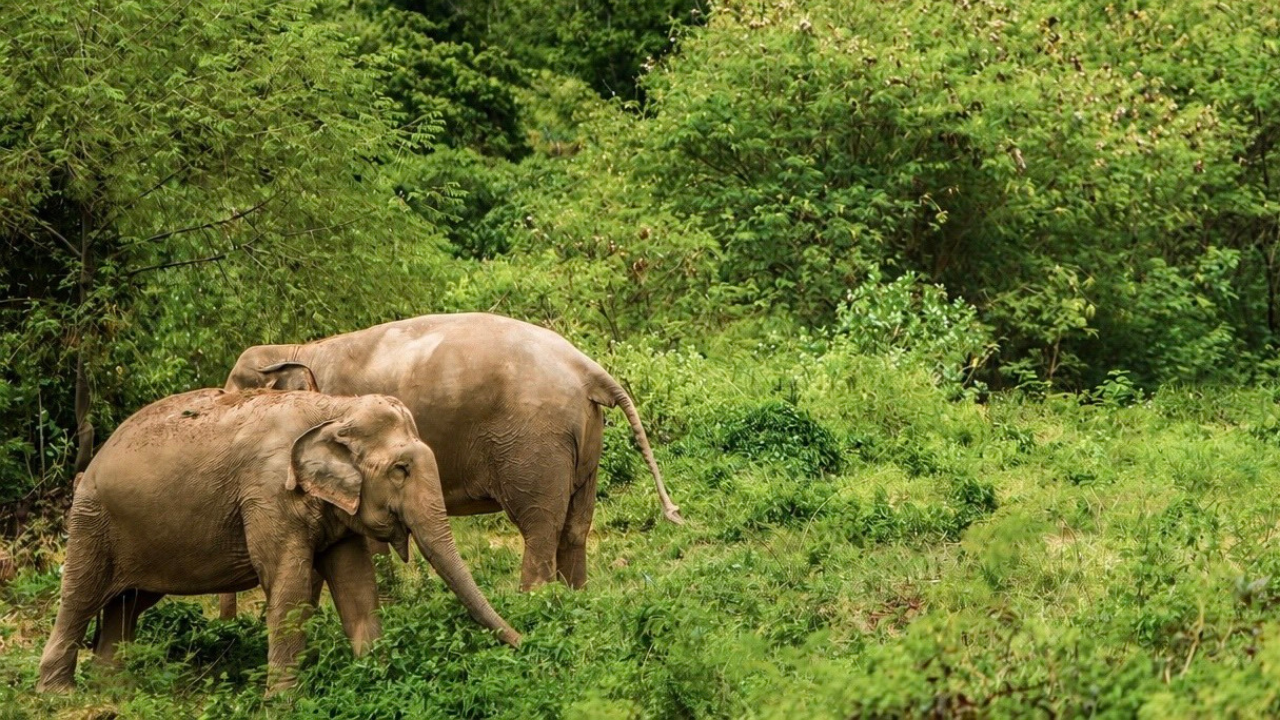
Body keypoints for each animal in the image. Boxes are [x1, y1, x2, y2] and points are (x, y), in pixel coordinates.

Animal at [37, 389, 520, 694]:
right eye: (400, 470)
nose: (523, 643)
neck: (335, 407)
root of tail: (96, 457)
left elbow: (357, 588)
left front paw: (377, 676)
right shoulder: (267, 493)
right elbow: (286, 586)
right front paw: (284, 702)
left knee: (129, 602)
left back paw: (113, 689)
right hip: (91, 520)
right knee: (80, 596)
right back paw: (58, 694)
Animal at [221, 312, 681, 607]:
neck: (298, 349)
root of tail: (588, 368)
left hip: (534, 442)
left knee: (539, 525)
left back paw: (533, 605)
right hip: (586, 437)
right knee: (575, 526)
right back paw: (575, 600)